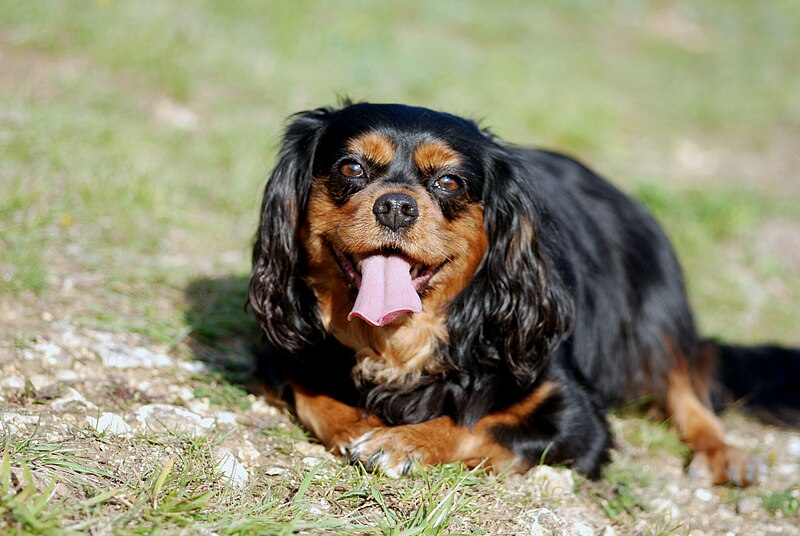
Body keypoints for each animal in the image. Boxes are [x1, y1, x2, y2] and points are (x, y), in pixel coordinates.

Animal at [247, 101, 796, 486]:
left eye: (449, 182)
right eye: (351, 169)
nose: (397, 206)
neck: (402, 338)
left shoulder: (576, 415)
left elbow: (478, 424)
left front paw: (404, 442)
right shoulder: (285, 351)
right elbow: (315, 397)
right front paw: (358, 425)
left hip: (653, 311)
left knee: (687, 386)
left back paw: (723, 454)